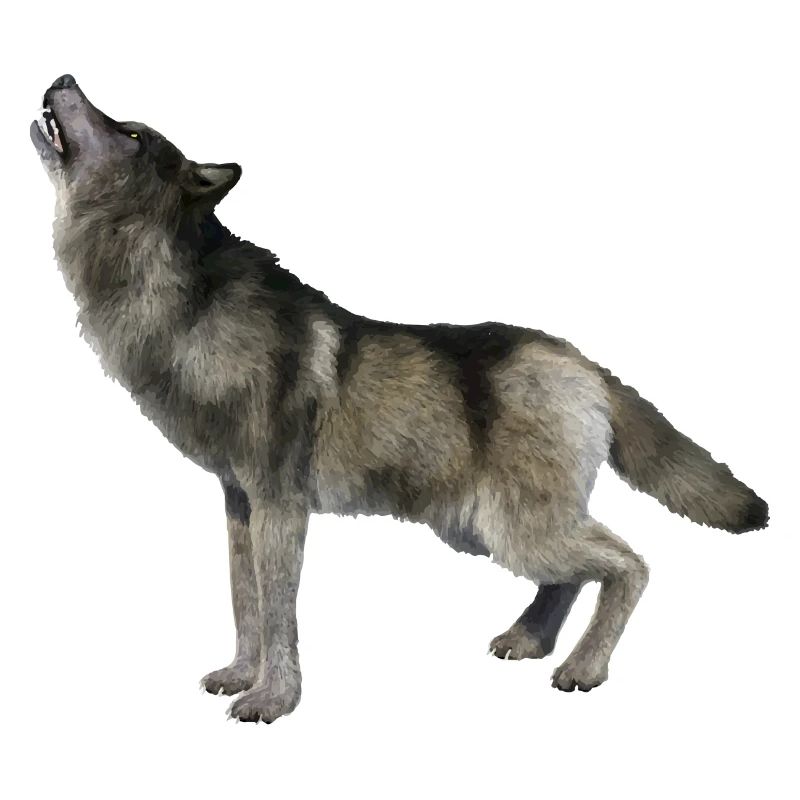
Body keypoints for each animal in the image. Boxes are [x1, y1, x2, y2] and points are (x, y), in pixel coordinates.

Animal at [31, 74, 768, 723]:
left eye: (130, 132)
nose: (63, 78)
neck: (181, 300)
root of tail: (581, 361)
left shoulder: (280, 506)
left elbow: (278, 612)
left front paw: (273, 701)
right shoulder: (239, 503)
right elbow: (246, 605)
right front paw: (242, 675)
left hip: (513, 529)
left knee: (630, 564)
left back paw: (582, 668)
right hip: (486, 529)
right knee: (576, 574)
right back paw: (529, 641)